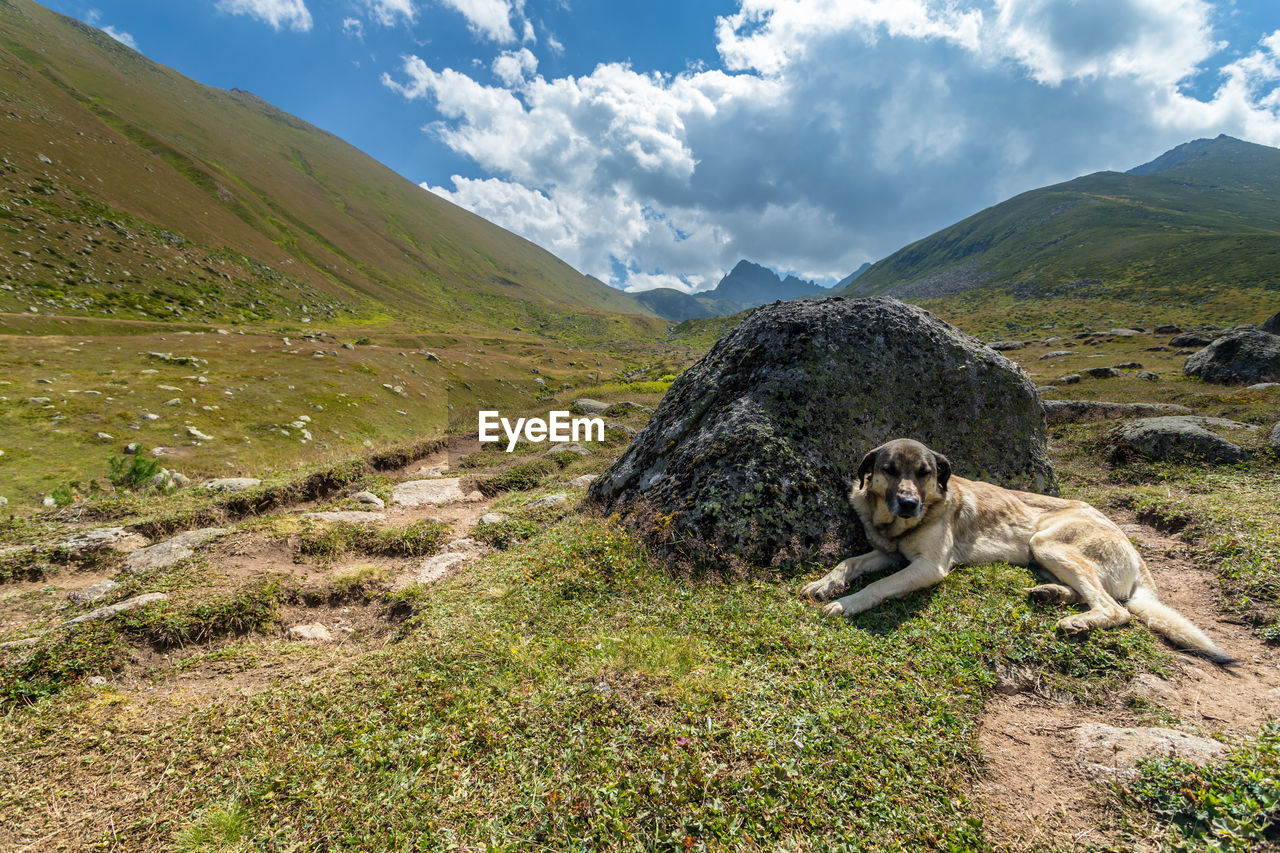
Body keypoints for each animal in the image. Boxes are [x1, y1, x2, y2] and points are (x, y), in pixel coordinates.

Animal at [798, 438, 1228, 666]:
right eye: (889, 470)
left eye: (924, 473)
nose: (908, 504)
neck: (896, 524)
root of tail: (1136, 553)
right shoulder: (889, 554)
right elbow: (849, 561)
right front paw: (825, 583)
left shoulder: (927, 566)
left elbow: (878, 586)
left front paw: (847, 603)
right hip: (1045, 556)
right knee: (1088, 594)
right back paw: (1050, 594)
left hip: (1048, 543)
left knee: (1115, 609)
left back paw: (1079, 621)